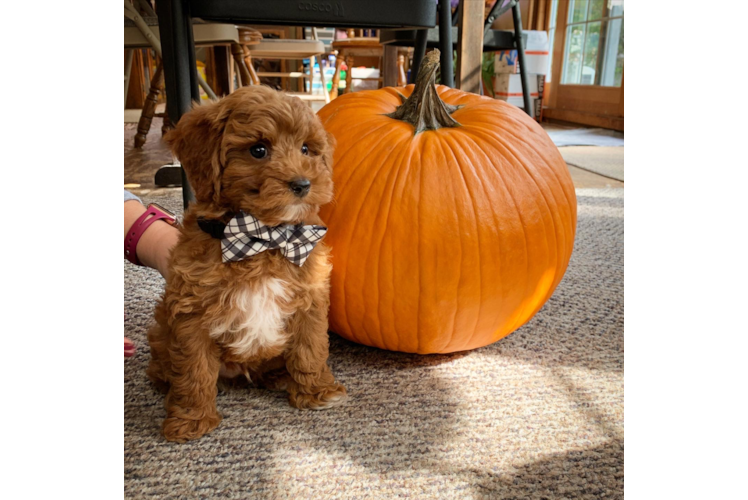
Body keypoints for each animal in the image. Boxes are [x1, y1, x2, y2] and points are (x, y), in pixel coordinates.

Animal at [149, 86, 348, 442]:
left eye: (306, 149)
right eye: (258, 150)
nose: (302, 184)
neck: (262, 238)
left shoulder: (309, 296)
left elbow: (310, 347)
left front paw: (316, 392)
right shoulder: (190, 311)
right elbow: (193, 368)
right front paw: (191, 419)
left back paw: (279, 376)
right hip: (161, 332)